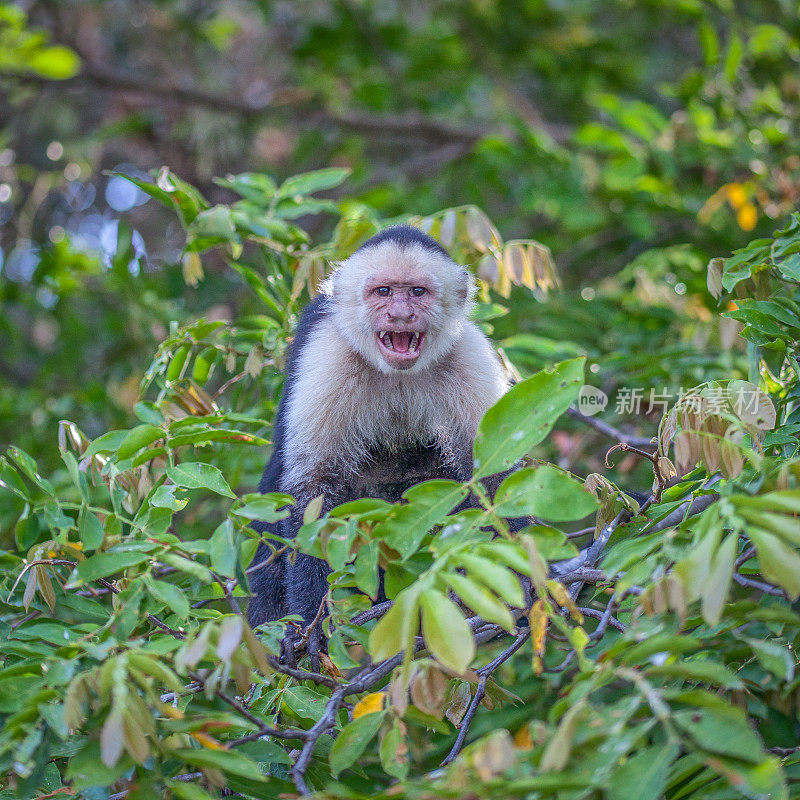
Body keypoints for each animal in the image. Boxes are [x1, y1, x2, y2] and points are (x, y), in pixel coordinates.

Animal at [247, 223, 510, 656]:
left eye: (418, 291)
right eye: (383, 291)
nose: (400, 314)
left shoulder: (468, 355)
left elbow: (494, 475)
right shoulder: (329, 357)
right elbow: (314, 490)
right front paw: (311, 624)